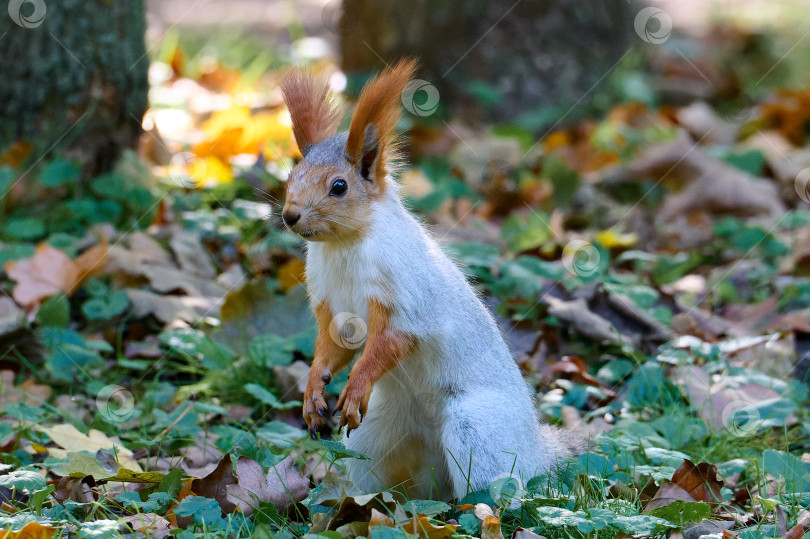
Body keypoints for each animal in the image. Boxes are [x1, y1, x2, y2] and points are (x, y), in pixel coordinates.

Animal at [278, 60, 576, 502]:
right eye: (290, 176)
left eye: (339, 186)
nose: (290, 215)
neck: (344, 247)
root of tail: (536, 452)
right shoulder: (334, 306)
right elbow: (332, 347)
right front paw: (314, 390)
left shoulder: (406, 295)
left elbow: (391, 341)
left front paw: (356, 383)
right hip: (373, 437)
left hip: (476, 431)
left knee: (497, 490)